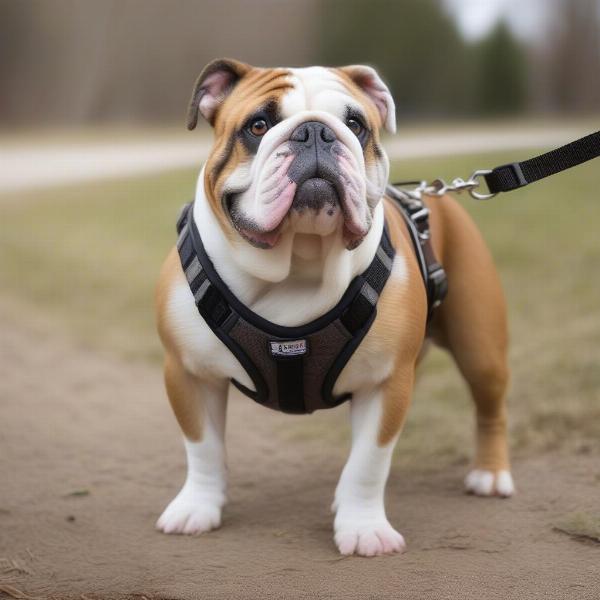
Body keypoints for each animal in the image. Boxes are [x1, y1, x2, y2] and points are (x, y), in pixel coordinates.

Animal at [152, 58, 512, 556]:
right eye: (258, 125)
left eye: (355, 124)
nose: (316, 132)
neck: (298, 262)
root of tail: (435, 194)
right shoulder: (188, 373)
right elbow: (202, 447)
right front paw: (197, 507)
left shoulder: (385, 384)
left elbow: (368, 462)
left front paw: (363, 528)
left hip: (480, 347)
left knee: (490, 405)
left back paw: (490, 475)